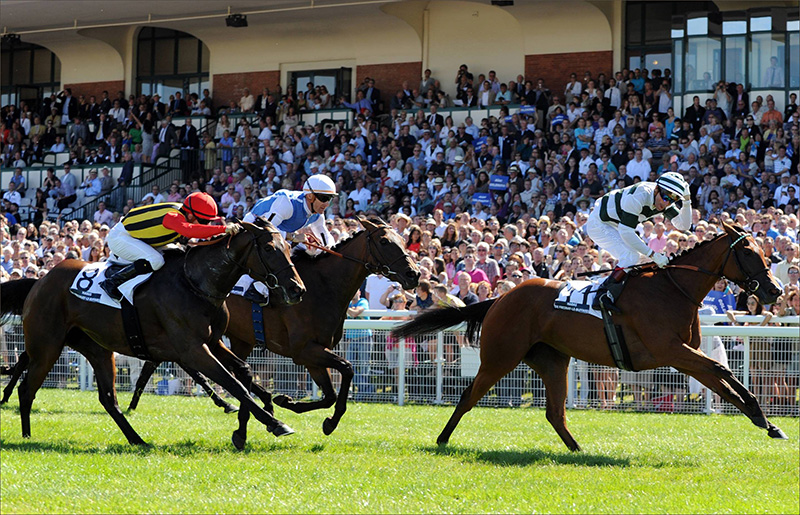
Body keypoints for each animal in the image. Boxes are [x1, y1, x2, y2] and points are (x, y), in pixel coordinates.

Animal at [0, 220, 306, 446]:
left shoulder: (213, 342)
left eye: (287, 246)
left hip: (97, 348)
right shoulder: (193, 349)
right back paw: (26, 436)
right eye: (269, 248)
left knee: (108, 399)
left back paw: (137, 440)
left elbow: (243, 371)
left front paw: (263, 412)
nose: (297, 289)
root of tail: (40, 281)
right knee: (27, 388)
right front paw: (275, 422)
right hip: (47, 346)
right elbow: (234, 384)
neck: (196, 283)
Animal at [126, 216, 418, 450]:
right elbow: (346, 370)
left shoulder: (313, 355)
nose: (413, 274)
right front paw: (306, 412)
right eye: (385, 241)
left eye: (403, 239)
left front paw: (293, 405)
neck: (324, 286)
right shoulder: (305, 351)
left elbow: (330, 394)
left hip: (232, 340)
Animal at [394, 222, 788, 452]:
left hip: (552, 359)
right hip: (501, 356)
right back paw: (442, 439)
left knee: (554, 412)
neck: (672, 289)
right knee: (468, 396)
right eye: (749, 252)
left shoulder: (685, 355)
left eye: (763, 251)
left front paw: (767, 424)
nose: (775, 289)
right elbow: (726, 373)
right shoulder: (672, 350)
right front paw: (764, 419)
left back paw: (578, 450)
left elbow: (724, 381)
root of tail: (500, 298)